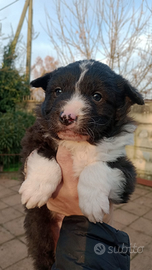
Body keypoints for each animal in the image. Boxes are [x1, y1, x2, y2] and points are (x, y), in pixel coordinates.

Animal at [18, 60, 144, 268]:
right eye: (58, 91)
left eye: (97, 96)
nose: (67, 116)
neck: (80, 144)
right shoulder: (33, 138)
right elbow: (44, 155)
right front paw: (36, 189)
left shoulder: (126, 170)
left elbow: (97, 167)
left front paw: (93, 203)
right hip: (41, 238)